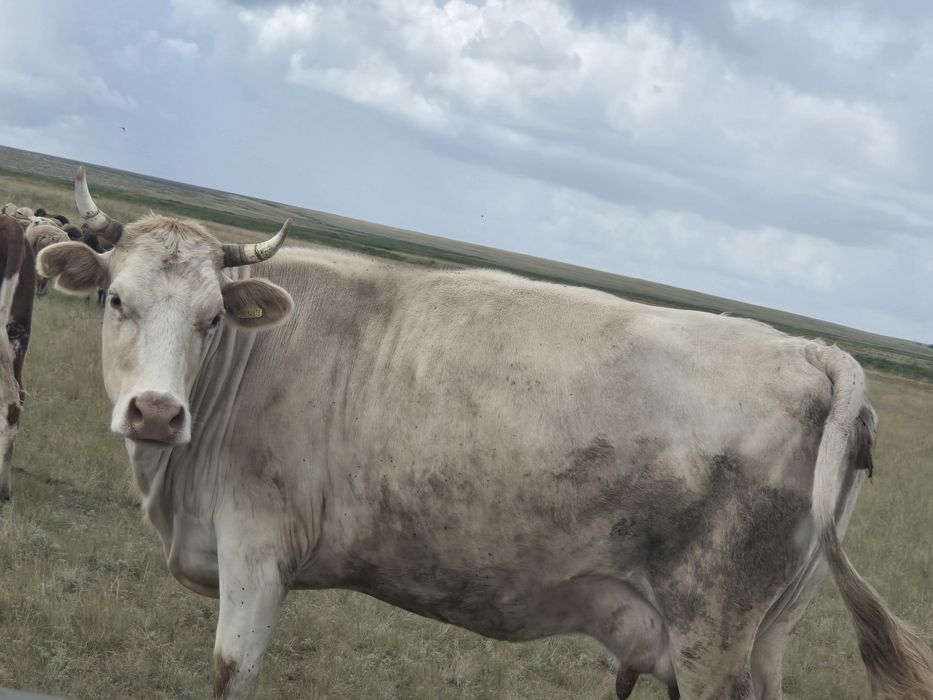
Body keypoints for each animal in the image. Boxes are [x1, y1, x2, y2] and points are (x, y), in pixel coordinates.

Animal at [37, 167, 933, 700]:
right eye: (115, 299)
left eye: (212, 317)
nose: (157, 410)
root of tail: (812, 350)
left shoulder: (257, 547)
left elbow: (231, 670)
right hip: (765, 635)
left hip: (712, 636)